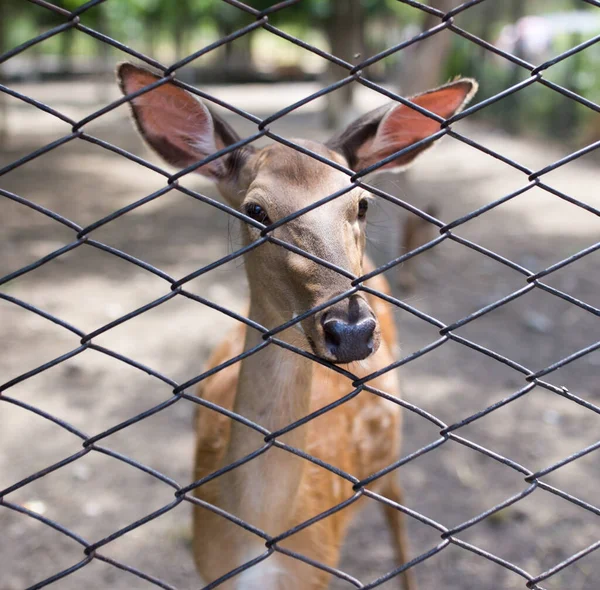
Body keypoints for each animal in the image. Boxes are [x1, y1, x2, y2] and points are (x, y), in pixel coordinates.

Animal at [118, 62, 478, 588]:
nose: (351, 330)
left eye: (362, 204)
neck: (261, 542)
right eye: (256, 210)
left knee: (397, 516)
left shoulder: (319, 567)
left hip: (391, 445)